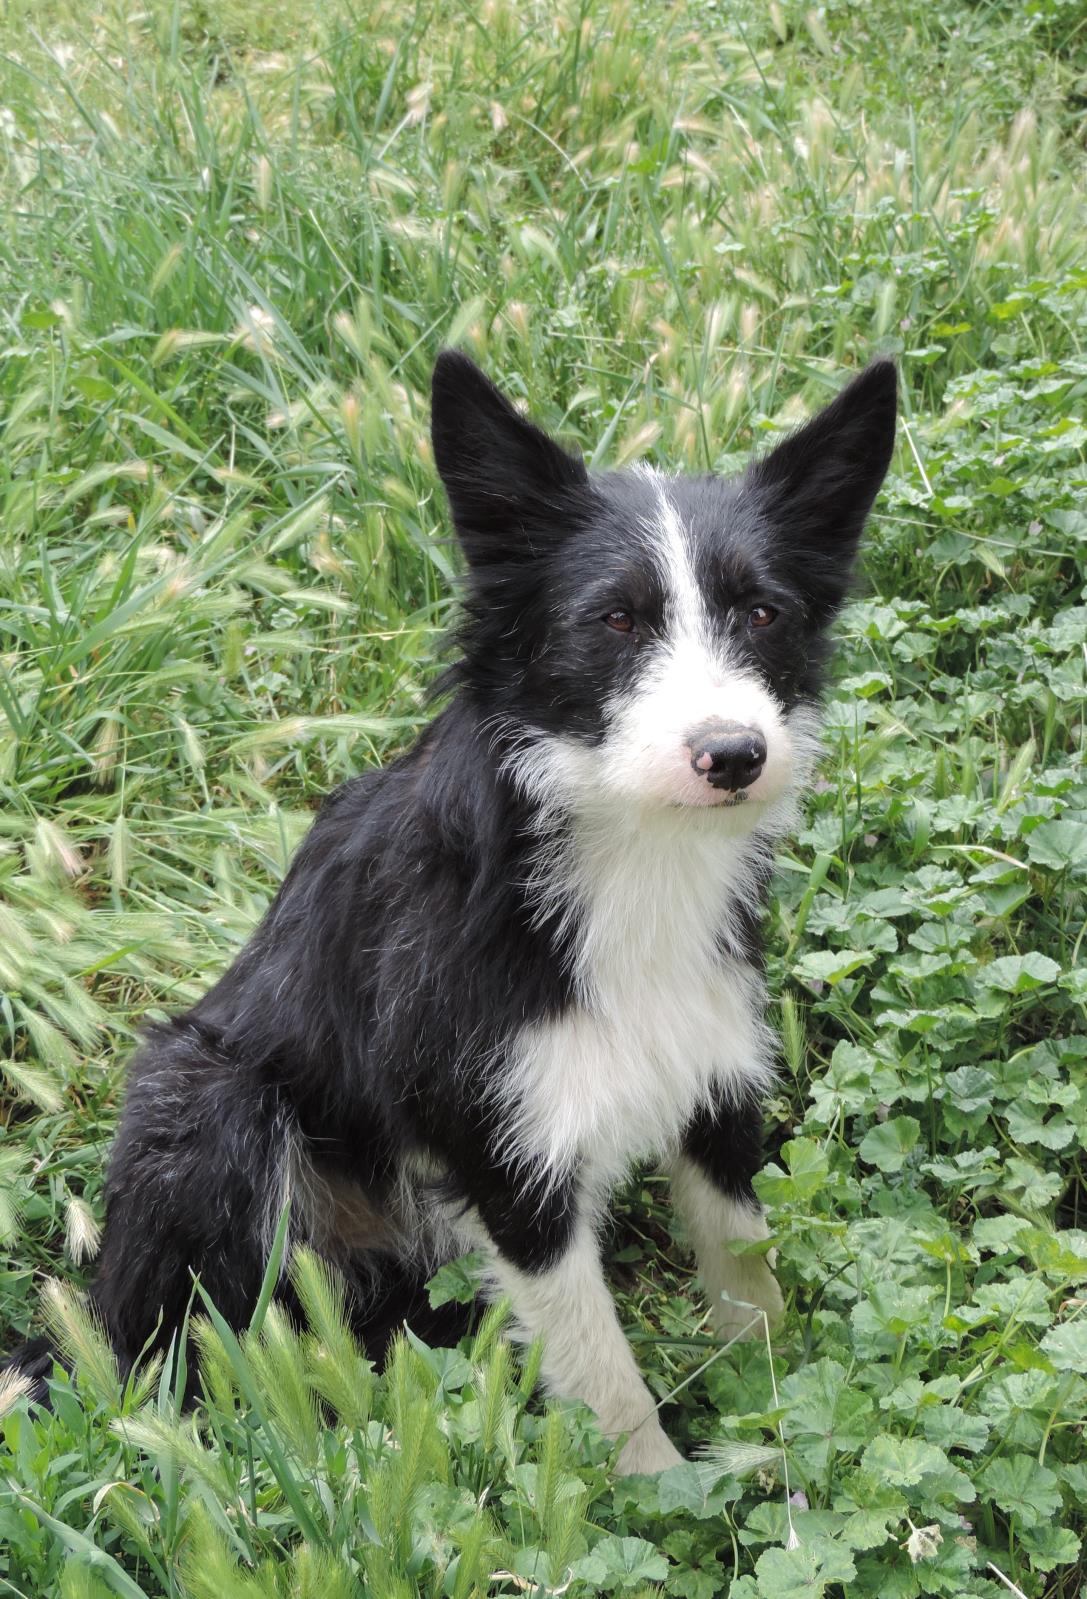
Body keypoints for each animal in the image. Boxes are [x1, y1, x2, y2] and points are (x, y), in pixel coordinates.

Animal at [8, 350, 888, 1471]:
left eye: (764, 614)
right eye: (616, 619)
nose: (732, 755)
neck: (622, 856)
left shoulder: (715, 1089)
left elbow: (750, 1283)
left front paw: (782, 1427)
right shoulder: (505, 1163)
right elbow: (607, 1383)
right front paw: (661, 1489)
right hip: (209, 1104)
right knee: (174, 1352)